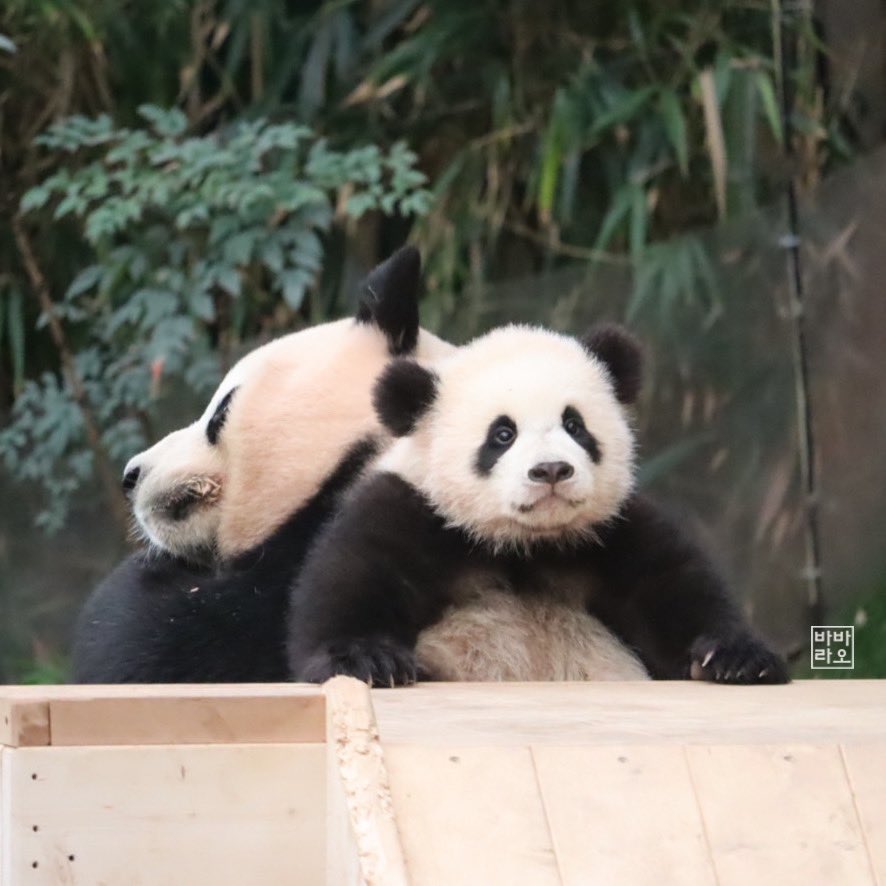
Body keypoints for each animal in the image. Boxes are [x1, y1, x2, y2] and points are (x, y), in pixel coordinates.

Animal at [286, 324, 792, 688]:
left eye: (575, 425)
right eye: (502, 434)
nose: (551, 469)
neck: (525, 544)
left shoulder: (613, 531)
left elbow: (673, 588)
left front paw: (738, 658)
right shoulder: (414, 512)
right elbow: (358, 577)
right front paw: (365, 658)